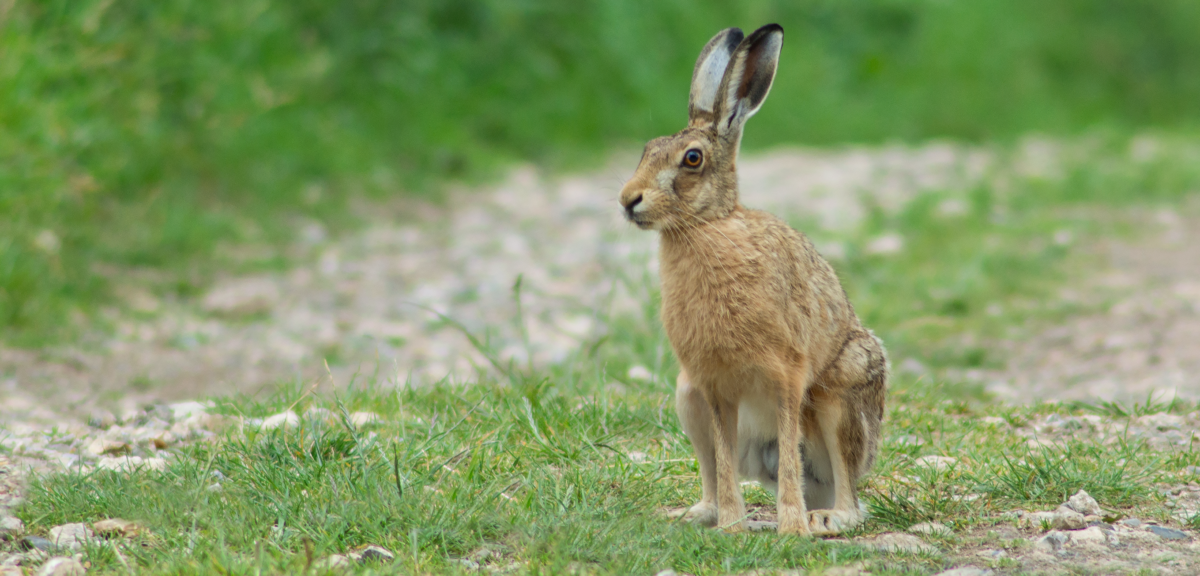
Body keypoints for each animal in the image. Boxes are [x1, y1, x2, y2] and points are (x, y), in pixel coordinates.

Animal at [618, 24, 887, 535]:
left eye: (692, 159)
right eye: (645, 151)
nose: (628, 200)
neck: (707, 226)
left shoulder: (787, 374)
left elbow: (787, 449)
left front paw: (791, 527)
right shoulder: (712, 385)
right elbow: (724, 463)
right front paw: (732, 528)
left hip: (843, 393)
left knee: (846, 489)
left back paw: (824, 517)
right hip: (686, 397)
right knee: (715, 470)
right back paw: (700, 514)